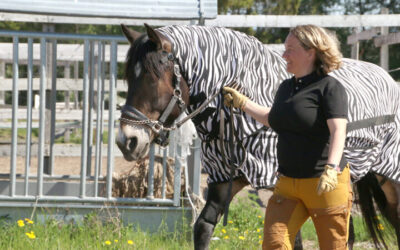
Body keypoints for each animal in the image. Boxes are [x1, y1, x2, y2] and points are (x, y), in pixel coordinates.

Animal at [115, 23, 400, 250]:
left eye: (153, 78)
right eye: (129, 76)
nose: (126, 141)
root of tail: (389, 80)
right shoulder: (223, 179)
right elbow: (203, 226)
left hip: (390, 179)